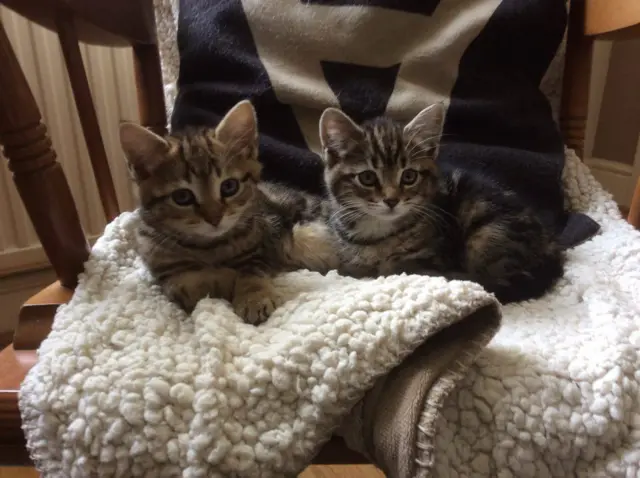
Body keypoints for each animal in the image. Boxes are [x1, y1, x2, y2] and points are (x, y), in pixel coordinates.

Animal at [122, 99, 338, 324]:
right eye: (182, 197)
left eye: (229, 186)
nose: (214, 218)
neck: (209, 246)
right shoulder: (165, 270)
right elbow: (192, 285)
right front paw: (226, 278)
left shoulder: (270, 239)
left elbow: (252, 268)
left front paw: (253, 296)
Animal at [320, 103, 564, 302]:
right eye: (367, 178)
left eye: (409, 176)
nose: (391, 200)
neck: (378, 232)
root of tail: (551, 244)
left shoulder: (431, 258)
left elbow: (399, 267)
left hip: (486, 231)